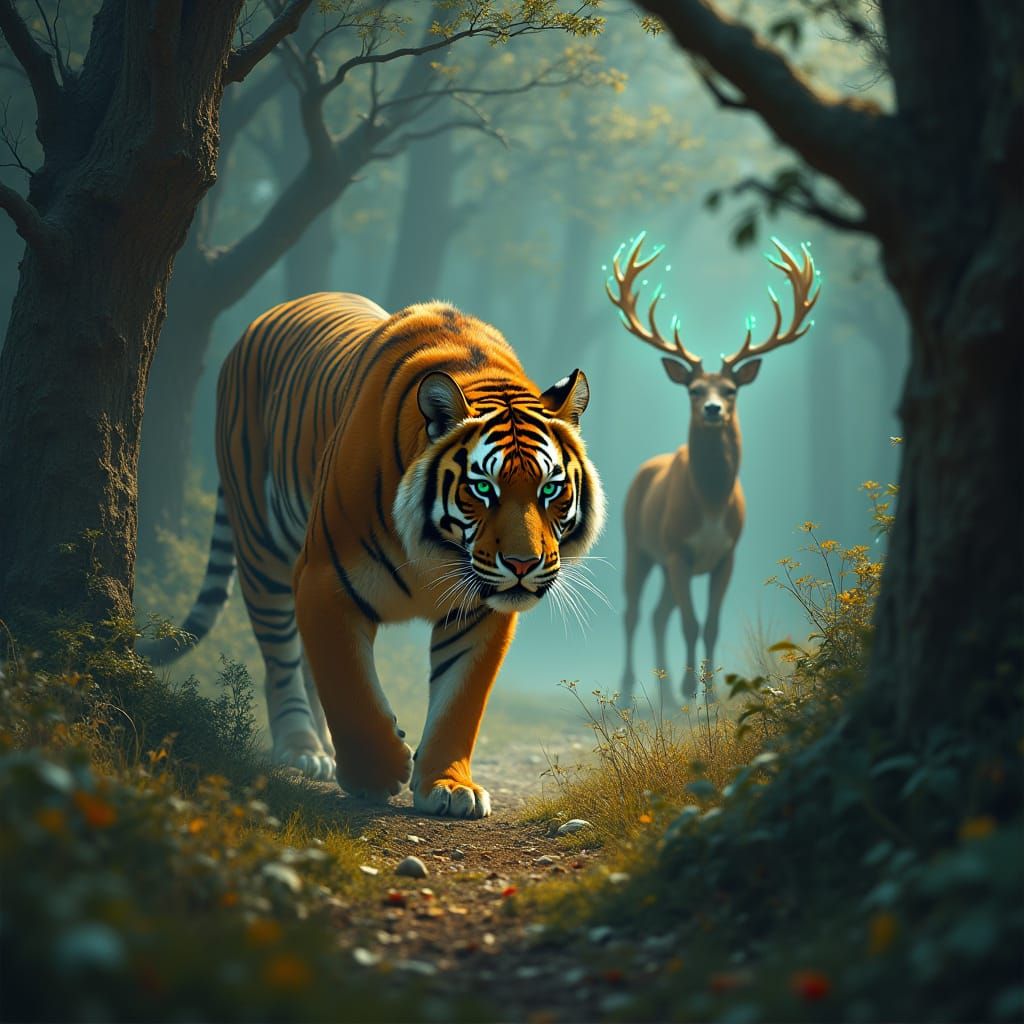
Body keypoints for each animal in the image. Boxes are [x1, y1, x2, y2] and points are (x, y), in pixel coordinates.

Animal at [139, 292, 605, 818]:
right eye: (483, 488)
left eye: (550, 489)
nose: (523, 566)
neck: (439, 553)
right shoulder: (324, 579)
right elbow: (350, 688)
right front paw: (376, 775)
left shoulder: (480, 610)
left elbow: (459, 702)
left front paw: (449, 786)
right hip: (261, 544)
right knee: (281, 656)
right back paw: (302, 749)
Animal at [607, 234, 820, 704]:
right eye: (693, 388)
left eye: (731, 388)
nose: (712, 409)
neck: (709, 504)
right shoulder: (676, 549)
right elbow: (690, 624)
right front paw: (692, 691)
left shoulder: (726, 554)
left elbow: (710, 626)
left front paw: (707, 694)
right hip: (637, 543)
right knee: (633, 612)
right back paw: (631, 693)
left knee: (657, 613)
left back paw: (665, 696)